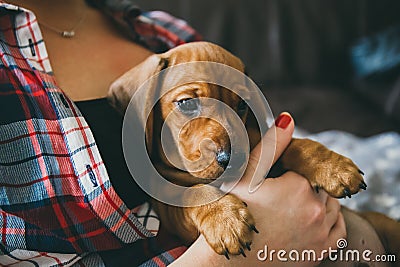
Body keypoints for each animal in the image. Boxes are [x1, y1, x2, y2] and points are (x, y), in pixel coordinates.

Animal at [107, 41, 400, 262]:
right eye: (187, 103)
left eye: (241, 106)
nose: (232, 160)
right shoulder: (168, 211)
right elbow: (193, 192)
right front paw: (225, 218)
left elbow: (296, 145)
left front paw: (333, 167)